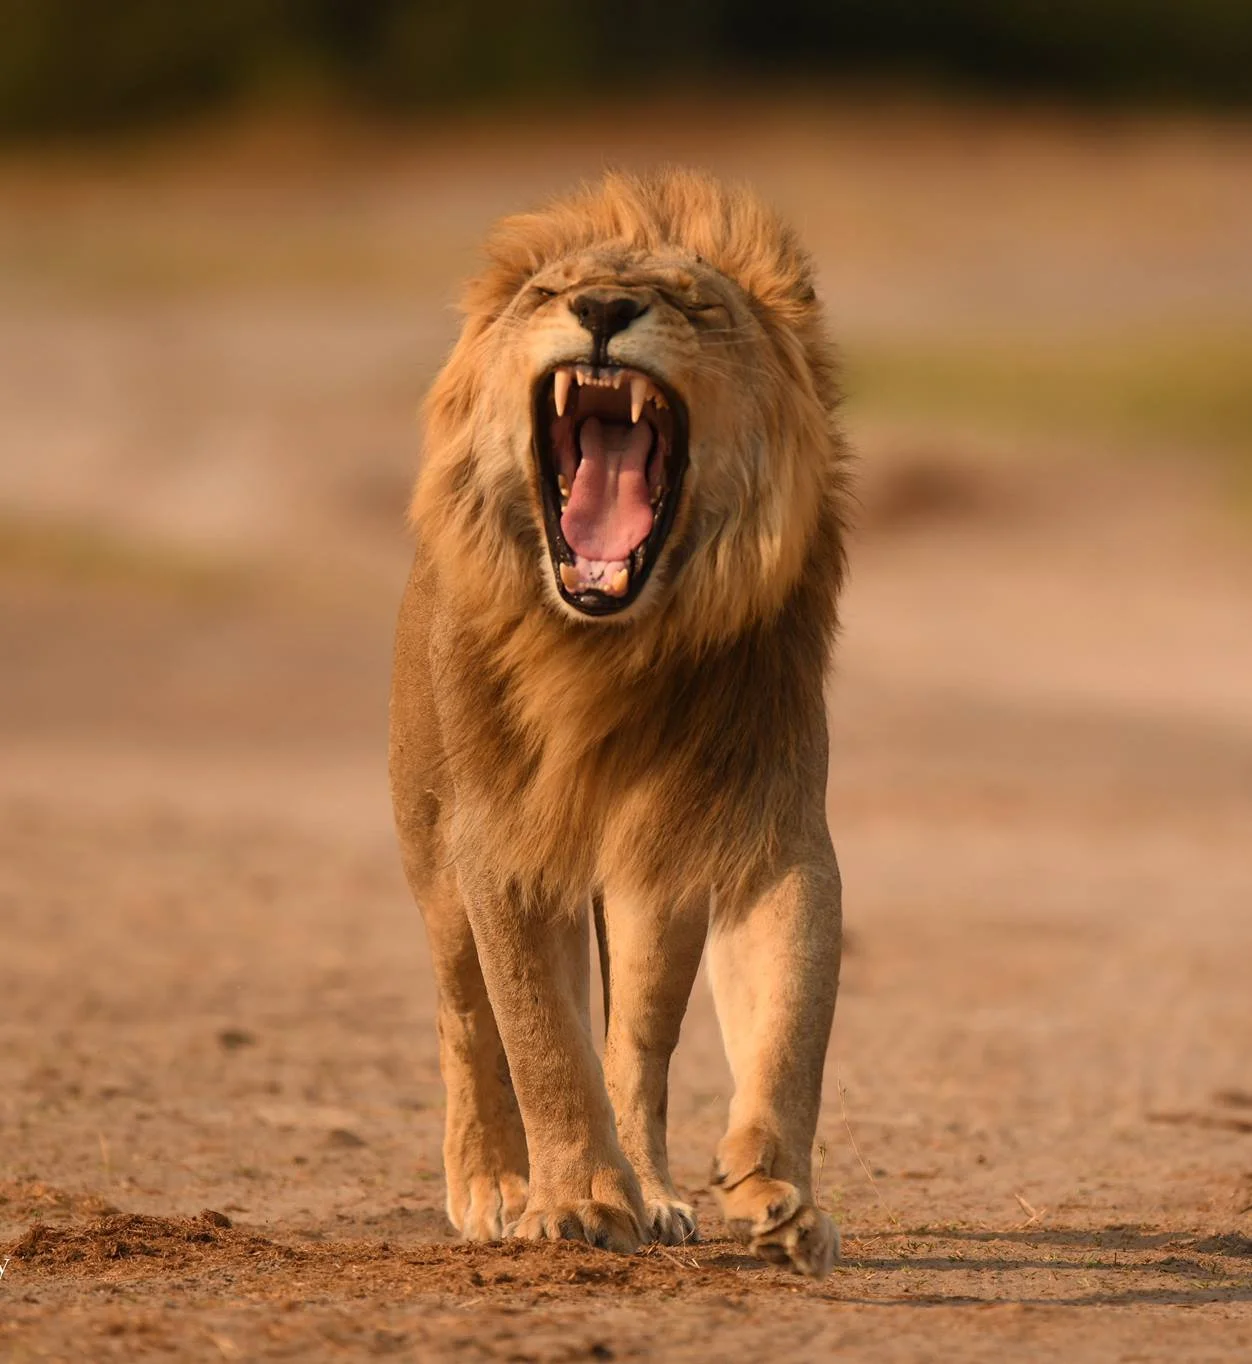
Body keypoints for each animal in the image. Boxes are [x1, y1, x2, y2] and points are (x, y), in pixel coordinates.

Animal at [389, 168, 848, 1277]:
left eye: (693, 302)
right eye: (550, 293)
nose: (600, 310)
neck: (610, 656)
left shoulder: (767, 835)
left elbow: (791, 1019)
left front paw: (778, 1195)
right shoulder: (498, 845)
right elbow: (540, 1039)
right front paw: (576, 1204)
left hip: (653, 902)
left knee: (634, 1048)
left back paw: (656, 1189)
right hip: (433, 863)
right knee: (465, 1020)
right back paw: (494, 1183)